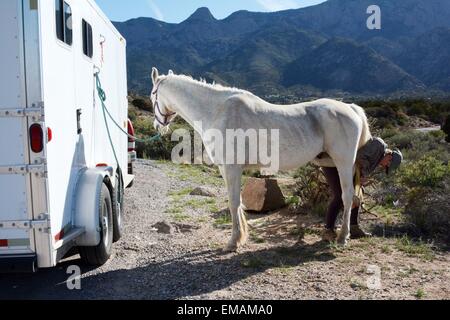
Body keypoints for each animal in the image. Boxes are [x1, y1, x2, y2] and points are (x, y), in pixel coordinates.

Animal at [149, 67, 370, 251]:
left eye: (152, 95)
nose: (158, 125)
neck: (217, 111)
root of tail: (351, 108)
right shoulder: (226, 169)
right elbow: (238, 203)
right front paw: (240, 238)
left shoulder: (232, 168)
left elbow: (233, 203)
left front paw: (233, 242)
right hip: (337, 164)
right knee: (349, 197)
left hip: (343, 162)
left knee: (347, 196)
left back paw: (342, 237)